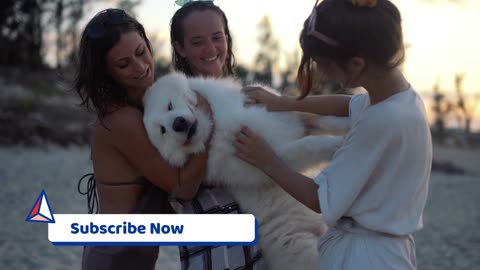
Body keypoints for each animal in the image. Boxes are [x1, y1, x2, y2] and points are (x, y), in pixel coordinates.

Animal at [142, 73, 344, 270]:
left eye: (169, 106)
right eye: (163, 131)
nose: (178, 123)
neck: (218, 127)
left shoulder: (288, 116)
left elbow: (326, 121)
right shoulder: (276, 156)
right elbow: (310, 144)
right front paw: (338, 145)